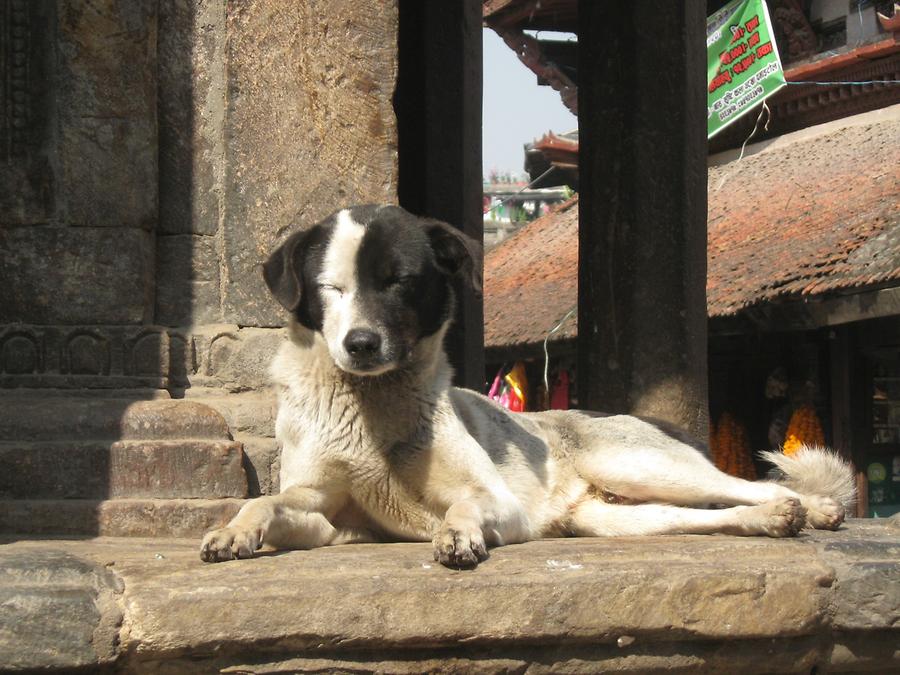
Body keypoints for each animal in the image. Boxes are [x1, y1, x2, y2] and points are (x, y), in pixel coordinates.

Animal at [200, 206, 856, 572]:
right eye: (328, 289)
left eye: (399, 283)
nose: (359, 344)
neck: (372, 410)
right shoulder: (328, 515)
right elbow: (267, 502)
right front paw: (234, 530)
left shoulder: (495, 498)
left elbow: (464, 504)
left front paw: (458, 532)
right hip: (612, 519)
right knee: (704, 516)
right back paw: (774, 520)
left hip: (638, 463)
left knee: (744, 484)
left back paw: (815, 507)